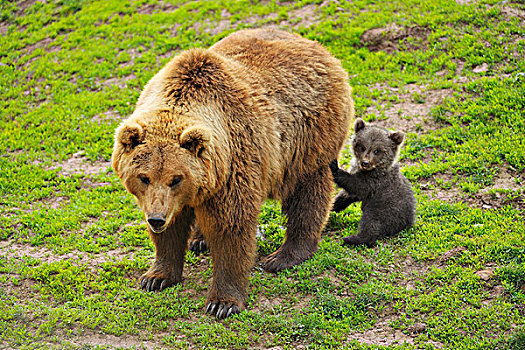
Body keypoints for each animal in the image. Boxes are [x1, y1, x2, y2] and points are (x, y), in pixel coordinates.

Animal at [112, 28, 354, 318]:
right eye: (144, 177)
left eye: (176, 178)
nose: (156, 219)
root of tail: (317, 47)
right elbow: (173, 230)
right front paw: (156, 277)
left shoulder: (235, 164)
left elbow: (231, 228)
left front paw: (222, 302)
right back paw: (199, 240)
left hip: (308, 138)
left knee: (308, 194)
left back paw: (285, 256)